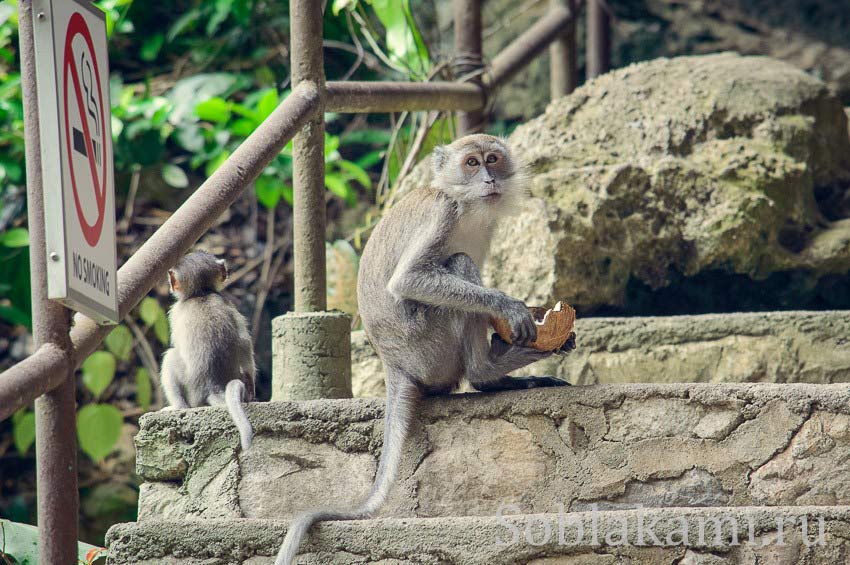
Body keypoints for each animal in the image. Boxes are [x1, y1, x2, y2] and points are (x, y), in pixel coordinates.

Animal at [157, 251, 253, 450]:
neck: (201, 294)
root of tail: (213, 385)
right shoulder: (228, 303)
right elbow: (244, 342)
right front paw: (251, 388)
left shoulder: (175, 311)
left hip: (191, 390)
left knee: (170, 357)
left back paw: (178, 407)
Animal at [278, 133, 568, 564]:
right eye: (471, 163)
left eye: (493, 159)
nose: (489, 179)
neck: (464, 202)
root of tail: (394, 365)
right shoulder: (442, 212)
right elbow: (410, 280)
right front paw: (510, 307)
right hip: (429, 347)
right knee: (459, 264)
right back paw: (487, 374)